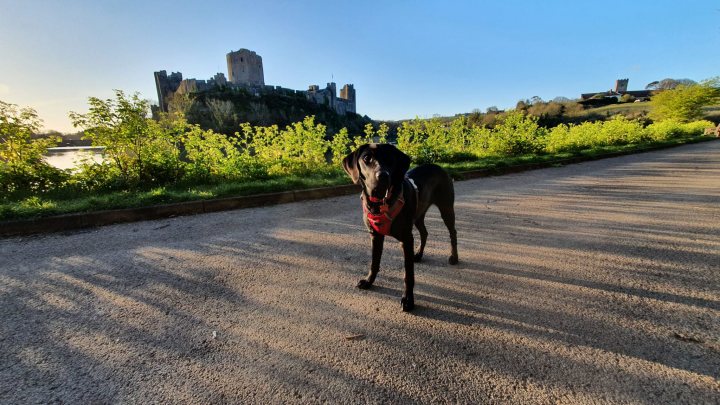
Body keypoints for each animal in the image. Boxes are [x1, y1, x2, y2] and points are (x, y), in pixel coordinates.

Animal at [342, 144, 456, 310]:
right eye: (366, 158)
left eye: (390, 158)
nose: (383, 175)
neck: (380, 203)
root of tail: (438, 166)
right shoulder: (375, 236)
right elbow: (374, 262)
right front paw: (369, 281)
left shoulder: (406, 239)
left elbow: (408, 274)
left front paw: (408, 299)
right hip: (418, 214)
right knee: (424, 232)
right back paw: (418, 255)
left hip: (446, 208)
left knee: (453, 232)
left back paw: (454, 257)